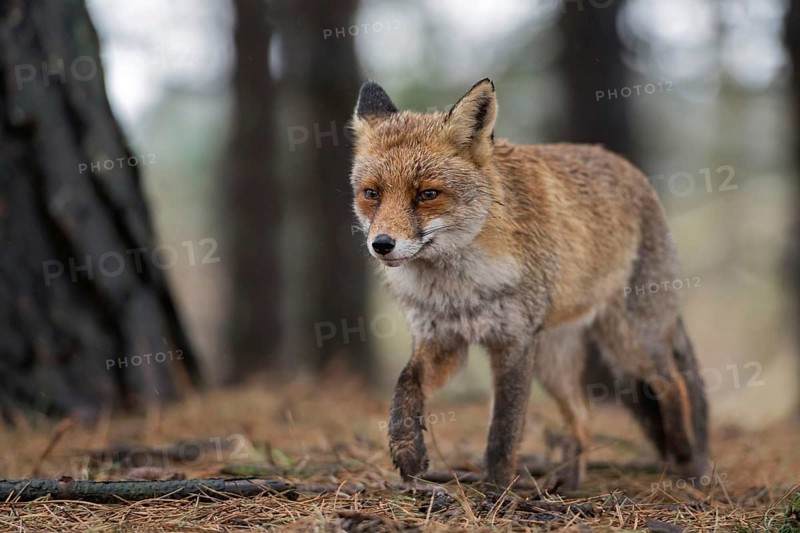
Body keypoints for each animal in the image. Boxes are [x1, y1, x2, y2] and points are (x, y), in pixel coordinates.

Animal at [349, 78, 708, 488]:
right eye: (371, 194)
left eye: (427, 194)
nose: (382, 244)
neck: (458, 289)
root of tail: (631, 170)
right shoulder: (443, 340)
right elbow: (404, 386)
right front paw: (407, 449)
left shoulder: (514, 341)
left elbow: (504, 430)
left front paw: (497, 489)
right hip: (555, 361)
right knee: (582, 417)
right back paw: (569, 483)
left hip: (629, 342)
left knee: (672, 383)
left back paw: (686, 460)